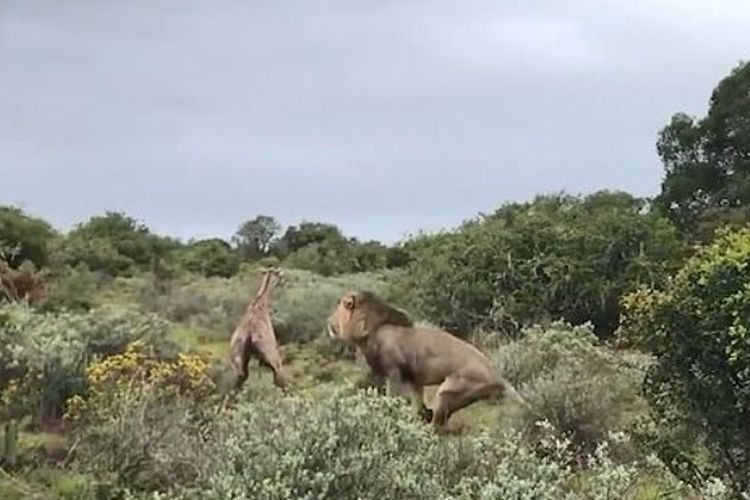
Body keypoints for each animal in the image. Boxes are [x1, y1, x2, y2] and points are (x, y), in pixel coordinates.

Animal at [326, 292, 524, 432]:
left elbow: (391, 398)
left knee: (439, 425)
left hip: (449, 390)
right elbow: (417, 403)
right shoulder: (414, 380)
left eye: (342, 306)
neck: (371, 330)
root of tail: (499, 377)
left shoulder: (394, 373)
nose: (328, 323)